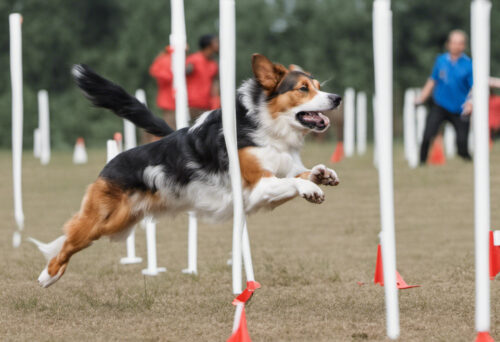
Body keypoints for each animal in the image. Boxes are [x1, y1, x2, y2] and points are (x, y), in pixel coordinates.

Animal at [33, 54, 342, 288]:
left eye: (318, 85)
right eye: (303, 88)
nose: (337, 97)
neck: (269, 127)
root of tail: (112, 163)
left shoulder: (274, 178)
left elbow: (299, 174)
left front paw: (322, 174)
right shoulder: (255, 185)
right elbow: (292, 183)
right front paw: (311, 188)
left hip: (119, 223)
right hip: (102, 219)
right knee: (69, 238)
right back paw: (47, 275)